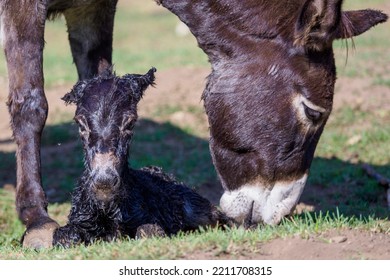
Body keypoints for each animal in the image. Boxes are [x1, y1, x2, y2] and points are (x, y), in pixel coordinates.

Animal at [52, 68, 229, 247]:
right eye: (80, 124)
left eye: (130, 123)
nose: (104, 182)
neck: (107, 207)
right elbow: (63, 237)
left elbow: (148, 231)